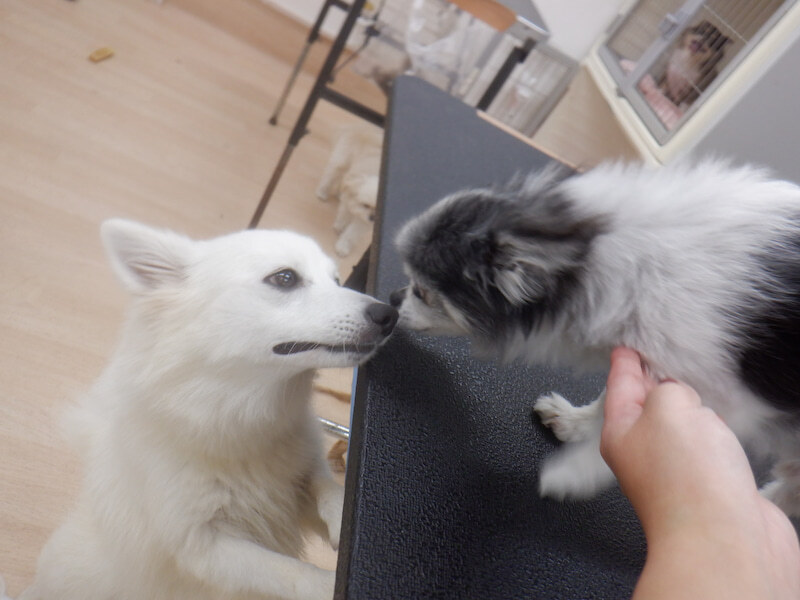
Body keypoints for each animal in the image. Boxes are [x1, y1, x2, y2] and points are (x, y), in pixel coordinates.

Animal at [20, 220, 397, 600]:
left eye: (336, 280)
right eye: (285, 278)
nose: (389, 314)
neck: (241, 411)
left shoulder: (297, 477)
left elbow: (326, 485)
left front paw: (340, 516)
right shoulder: (205, 546)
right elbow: (289, 572)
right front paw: (327, 583)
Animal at [316, 125, 383, 257]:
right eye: (365, 205)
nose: (372, 218)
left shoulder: (364, 222)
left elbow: (352, 234)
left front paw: (343, 246)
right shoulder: (350, 200)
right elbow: (344, 214)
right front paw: (340, 225)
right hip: (341, 161)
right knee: (331, 175)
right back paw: (322, 192)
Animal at [390, 160, 800, 516]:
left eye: (423, 293)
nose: (393, 301)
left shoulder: (722, 400)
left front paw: (573, 474)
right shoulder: (635, 357)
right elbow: (609, 401)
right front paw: (577, 422)